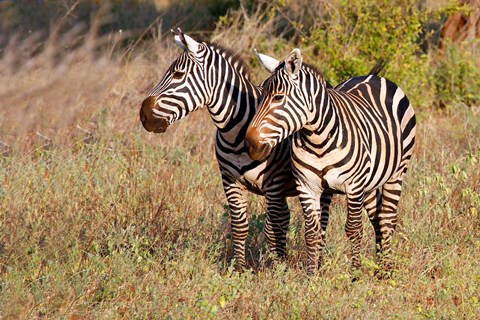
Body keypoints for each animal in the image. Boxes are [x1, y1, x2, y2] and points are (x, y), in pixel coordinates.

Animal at [139, 29, 296, 270]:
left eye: (178, 75)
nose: (143, 115)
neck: (236, 132)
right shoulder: (229, 180)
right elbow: (240, 227)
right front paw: (240, 268)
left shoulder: (275, 183)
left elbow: (273, 229)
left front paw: (277, 268)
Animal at [244, 47, 416, 276]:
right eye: (261, 95)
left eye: (279, 97)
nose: (250, 144)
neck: (317, 140)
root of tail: (373, 76)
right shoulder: (307, 187)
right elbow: (312, 232)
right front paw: (312, 275)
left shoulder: (354, 186)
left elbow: (353, 229)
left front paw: (355, 275)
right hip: (368, 183)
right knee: (376, 217)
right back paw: (379, 264)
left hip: (396, 173)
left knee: (387, 218)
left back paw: (385, 272)